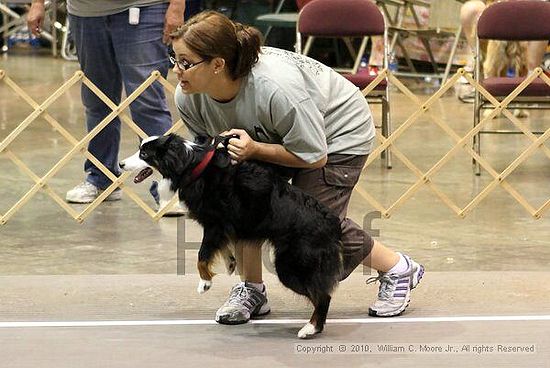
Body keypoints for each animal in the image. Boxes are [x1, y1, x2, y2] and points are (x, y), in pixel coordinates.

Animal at [120, 134, 342, 338]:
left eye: (144, 154)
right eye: (139, 149)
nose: (120, 164)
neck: (192, 166)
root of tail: (332, 222)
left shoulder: (214, 223)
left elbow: (201, 255)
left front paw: (205, 282)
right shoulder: (224, 226)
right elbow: (221, 246)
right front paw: (230, 262)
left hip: (291, 265)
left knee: (323, 296)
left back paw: (310, 328)